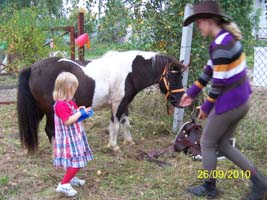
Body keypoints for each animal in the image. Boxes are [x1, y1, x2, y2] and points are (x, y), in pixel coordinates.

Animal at [17, 50, 186, 153]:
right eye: (171, 76)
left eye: (181, 76)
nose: (181, 101)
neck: (129, 72)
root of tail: (32, 68)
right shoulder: (117, 104)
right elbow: (115, 125)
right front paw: (114, 146)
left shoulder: (124, 103)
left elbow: (125, 124)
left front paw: (129, 142)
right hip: (51, 111)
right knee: (50, 130)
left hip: (40, 110)